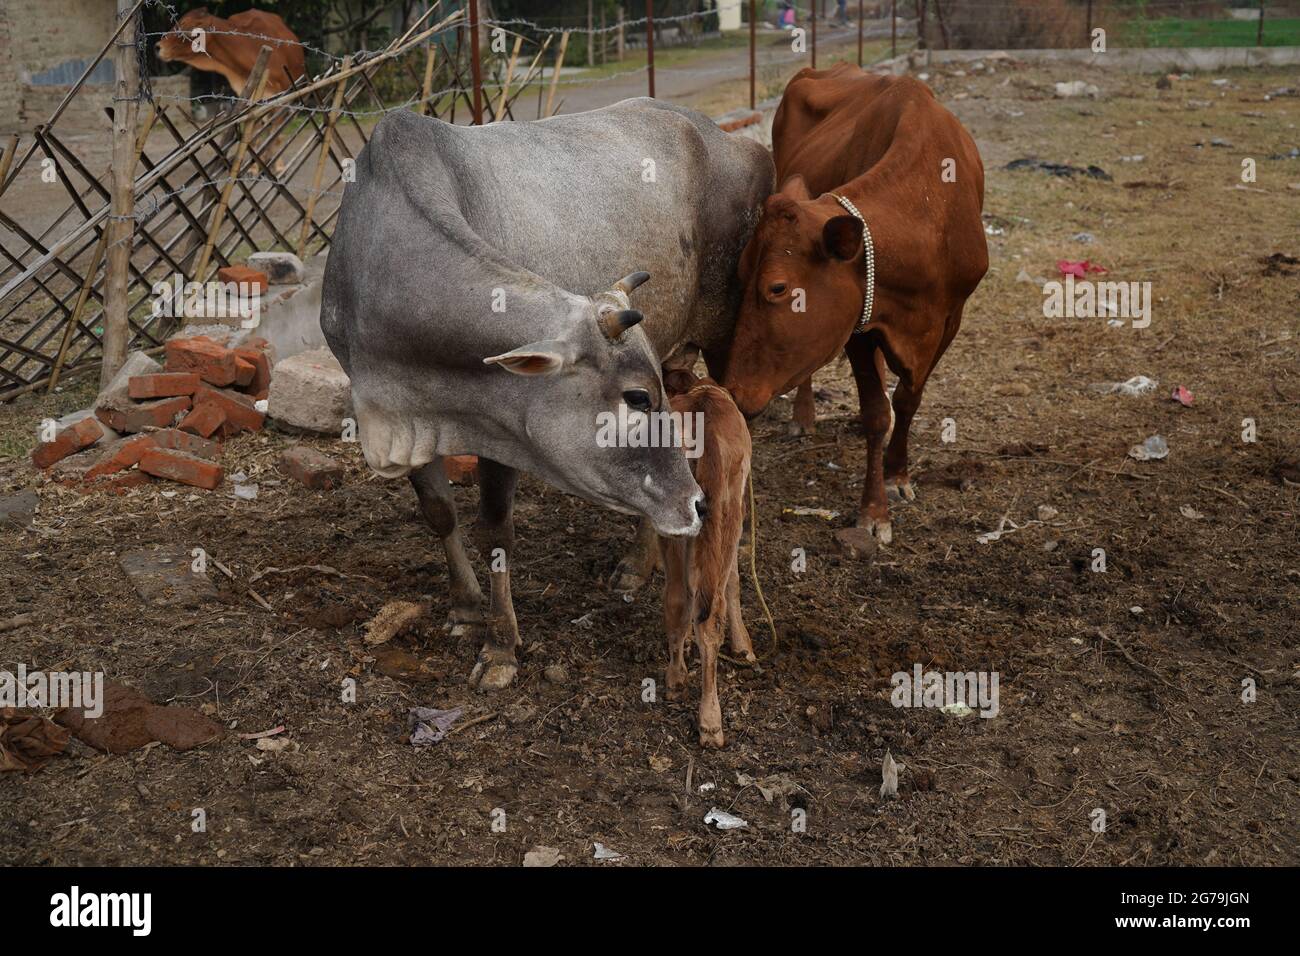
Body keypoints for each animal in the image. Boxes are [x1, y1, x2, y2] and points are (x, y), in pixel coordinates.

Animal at [321, 98, 774, 686]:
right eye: (637, 398)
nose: (696, 503)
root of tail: (723, 135)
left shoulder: (502, 433)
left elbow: (496, 534)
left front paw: (499, 648)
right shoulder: (406, 415)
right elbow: (440, 512)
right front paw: (465, 606)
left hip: (725, 332)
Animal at [655, 369, 759, 749]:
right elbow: (732, 583)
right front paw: (743, 647)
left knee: (679, 599)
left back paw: (678, 681)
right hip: (727, 517)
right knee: (706, 611)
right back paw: (710, 720)